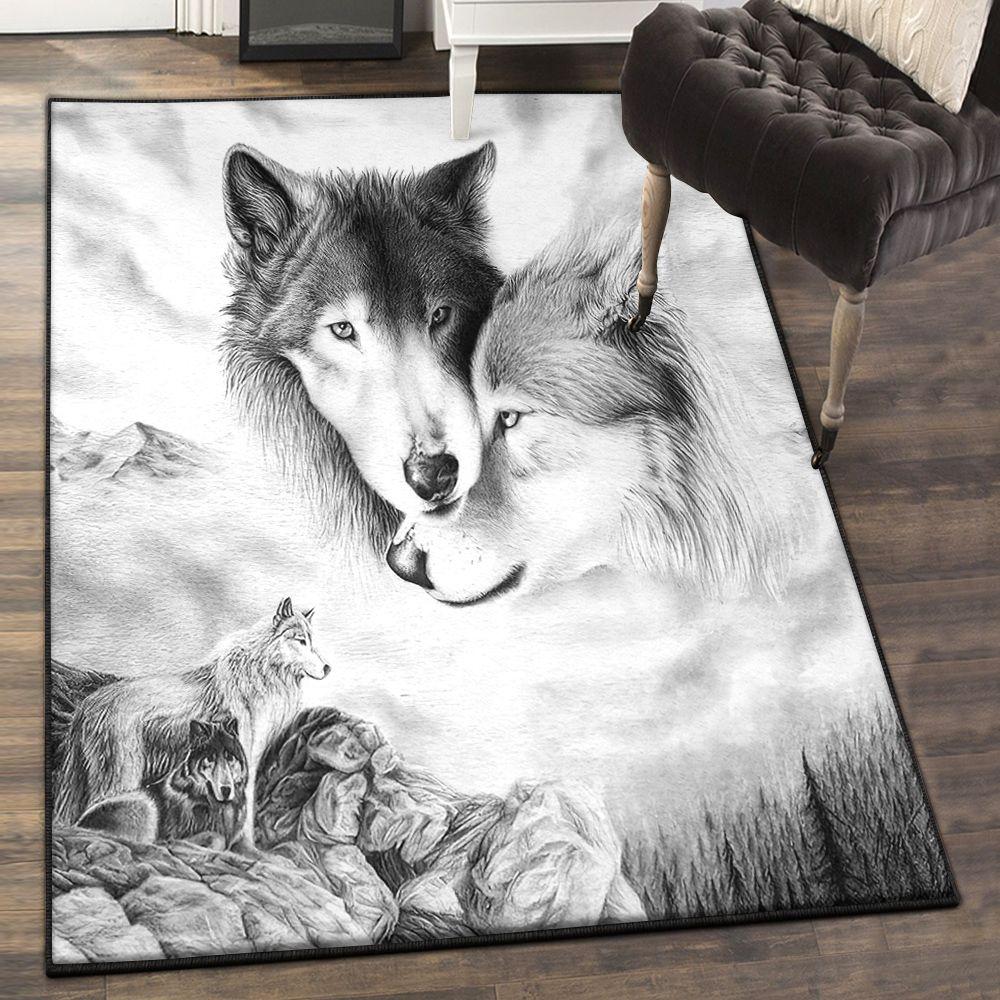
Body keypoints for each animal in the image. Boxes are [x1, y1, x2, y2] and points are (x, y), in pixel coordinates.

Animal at [76, 717, 248, 849]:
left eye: (229, 757)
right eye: (210, 758)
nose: (226, 790)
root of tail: (78, 825)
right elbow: (216, 837)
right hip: (145, 805)